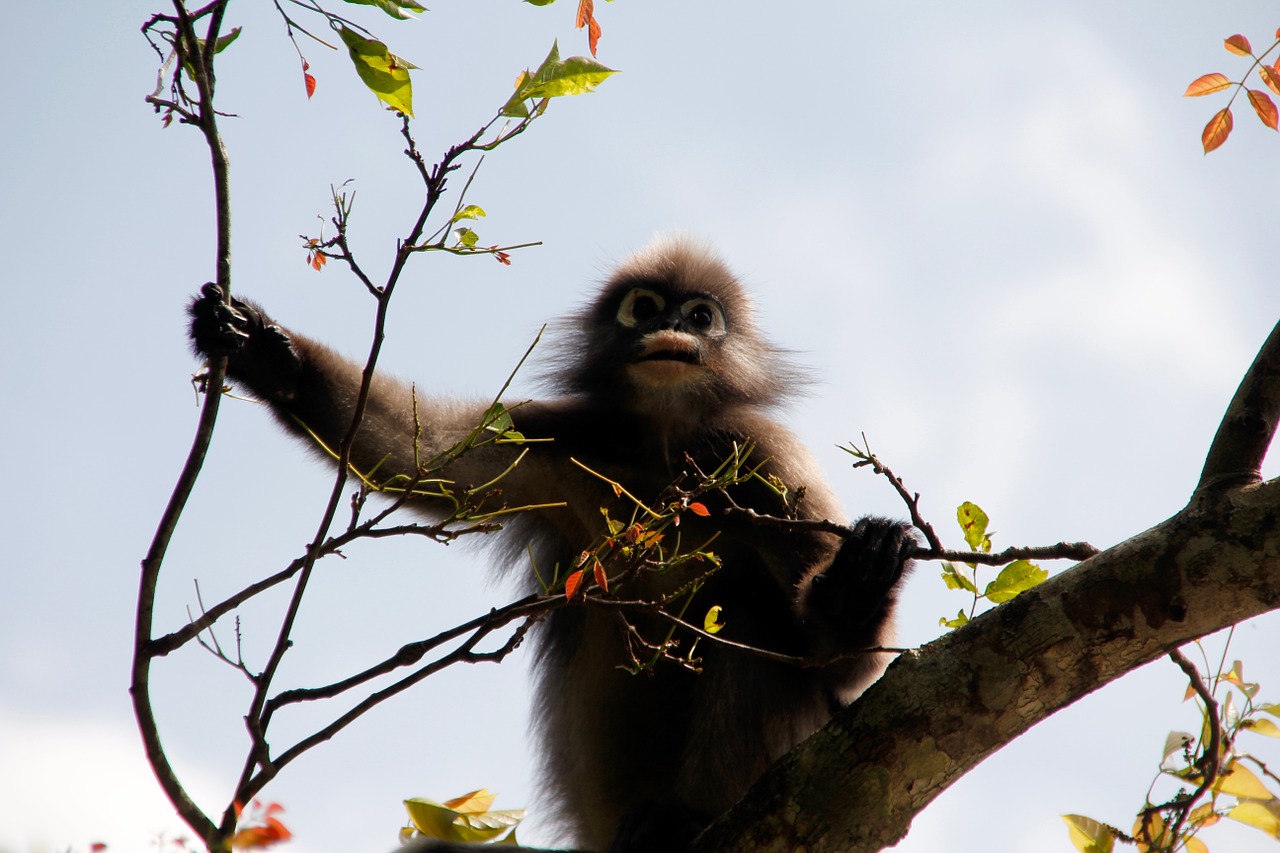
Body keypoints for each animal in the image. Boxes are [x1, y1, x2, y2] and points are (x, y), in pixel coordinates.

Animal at [186, 235, 911, 845]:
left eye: (702, 317)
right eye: (644, 308)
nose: (672, 328)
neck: (662, 447)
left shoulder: (763, 456)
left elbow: (841, 666)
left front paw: (857, 586)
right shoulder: (563, 437)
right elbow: (427, 459)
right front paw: (270, 357)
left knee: (755, 618)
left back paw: (681, 819)